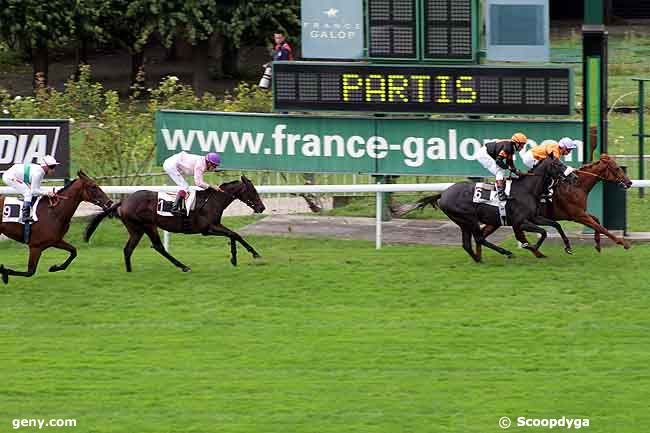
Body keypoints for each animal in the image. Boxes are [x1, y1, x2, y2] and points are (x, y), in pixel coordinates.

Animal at [84, 176, 266, 270]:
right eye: (253, 191)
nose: (262, 207)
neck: (213, 201)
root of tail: (123, 201)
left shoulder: (214, 226)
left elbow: (234, 235)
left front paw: (235, 259)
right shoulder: (207, 229)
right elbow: (234, 234)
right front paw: (253, 254)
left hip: (137, 230)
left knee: (130, 249)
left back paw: (129, 271)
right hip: (146, 226)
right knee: (157, 247)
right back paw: (183, 266)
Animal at [400, 157, 572, 262]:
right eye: (558, 164)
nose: (574, 176)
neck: (526, 189)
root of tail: (443, 194)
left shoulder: (534, 217)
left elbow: (556, 225)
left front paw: (568, 247)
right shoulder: (520, 222)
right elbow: (541, 233)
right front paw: (532, 247)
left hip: (464, 222)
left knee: (467, 244)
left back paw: (478, 258)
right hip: (469, 218)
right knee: (479, 238)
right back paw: (506, 253)